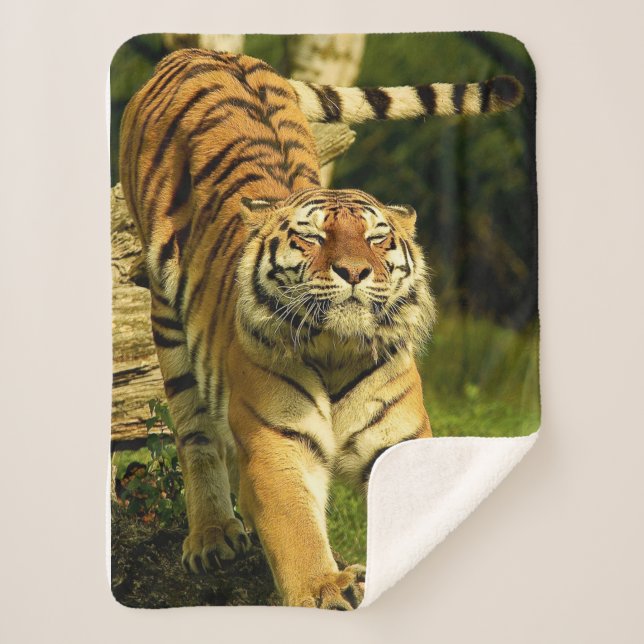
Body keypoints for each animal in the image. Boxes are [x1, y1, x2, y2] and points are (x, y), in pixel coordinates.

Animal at [119, 47, 523, 609]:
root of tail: (204, 51)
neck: (337, 350)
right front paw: (325, 587)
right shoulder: (277, 443)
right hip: (166, 316)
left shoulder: (398, 437)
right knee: (194, 431)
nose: (353, 271)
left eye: (377, 238)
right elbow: (296, 530)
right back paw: (212, 536)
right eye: (312, 237)